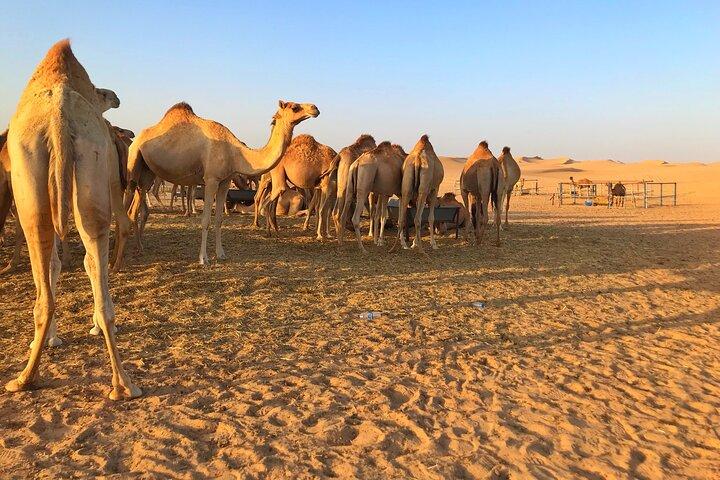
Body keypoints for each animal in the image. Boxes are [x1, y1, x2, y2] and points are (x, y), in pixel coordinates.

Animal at [5, 40, 140, 399]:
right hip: (86, 170)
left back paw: (25, 378)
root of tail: (59, 116)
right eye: (102, 92)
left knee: (50, 286)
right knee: (92, 263)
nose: (117, 96)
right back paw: (122, 383)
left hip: (37, 194)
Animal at [126, 100, 319, 264]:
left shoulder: (225, 181)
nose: (315, 108)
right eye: (294, 107)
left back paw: (139, 247)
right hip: (133, 161)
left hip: (147, 173)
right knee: (129, 207)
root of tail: (137, 139)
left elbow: (219, 219)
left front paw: (221, 254)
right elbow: (206, 220)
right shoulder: (211, 179)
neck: (236, 153)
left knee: (137, 206)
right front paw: (203, 259)